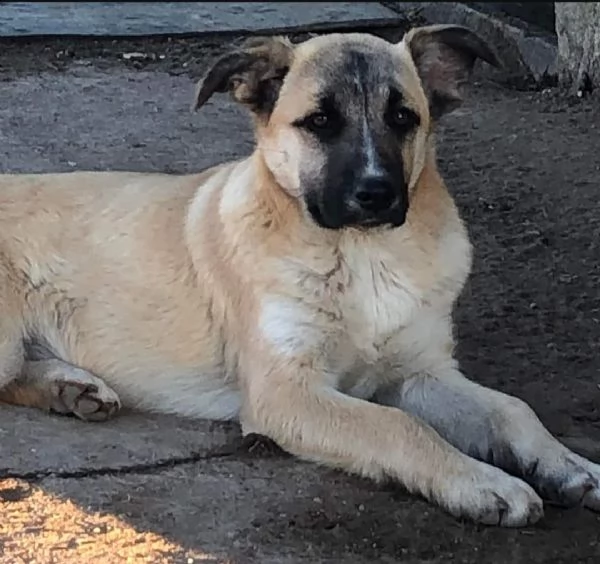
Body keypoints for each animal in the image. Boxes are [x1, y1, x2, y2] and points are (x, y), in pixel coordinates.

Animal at [1, 24, 600, 528]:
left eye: (403, 118)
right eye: (319, 122)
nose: (377, 193)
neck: (361, 255)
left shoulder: (421, 372)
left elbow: (512, 409)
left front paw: (570, 465)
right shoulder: (286, 391)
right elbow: (400, 425)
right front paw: (481, 483)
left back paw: (72, 388)